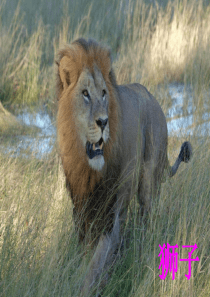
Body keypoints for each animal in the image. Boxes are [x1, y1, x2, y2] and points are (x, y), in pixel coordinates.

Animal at [55, 38, 192, 294]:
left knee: (146, 221)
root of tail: (150, 95)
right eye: (85, 94)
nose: (103, 121)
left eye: (104, 94)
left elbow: (97, 261)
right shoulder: (81, 208)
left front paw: (88, 286)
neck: (90, 170)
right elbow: (84, 255)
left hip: (147, 179)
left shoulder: (112, 212)